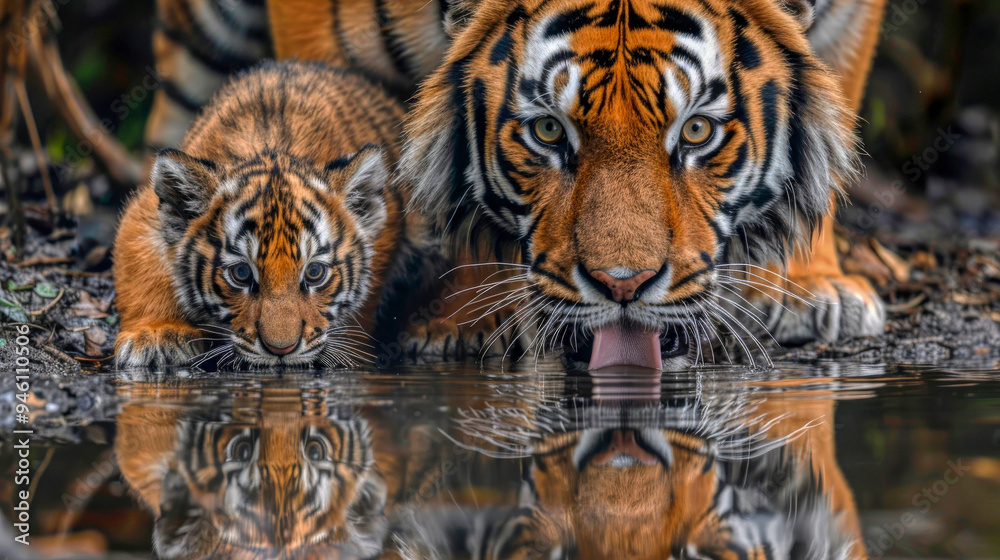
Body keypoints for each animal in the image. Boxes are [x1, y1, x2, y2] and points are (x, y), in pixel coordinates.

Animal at [114, 61, 423, 368]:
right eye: (240, 274)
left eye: (315, 273)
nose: (281, 349)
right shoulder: (144, 212)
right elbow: (143, 270)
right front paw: (156, 334)